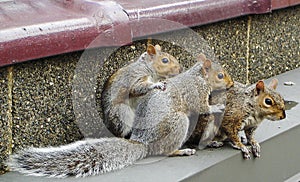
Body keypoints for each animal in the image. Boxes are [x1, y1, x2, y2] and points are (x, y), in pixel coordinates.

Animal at [5, 53, 233, 178]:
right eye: (220, 75)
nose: (231, 84)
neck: (199, 77)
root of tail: (143, 143)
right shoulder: (195, 92)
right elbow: (201, 106)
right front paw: (216, 107)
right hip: (177, 124)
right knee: (165, 150)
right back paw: (181, 151)